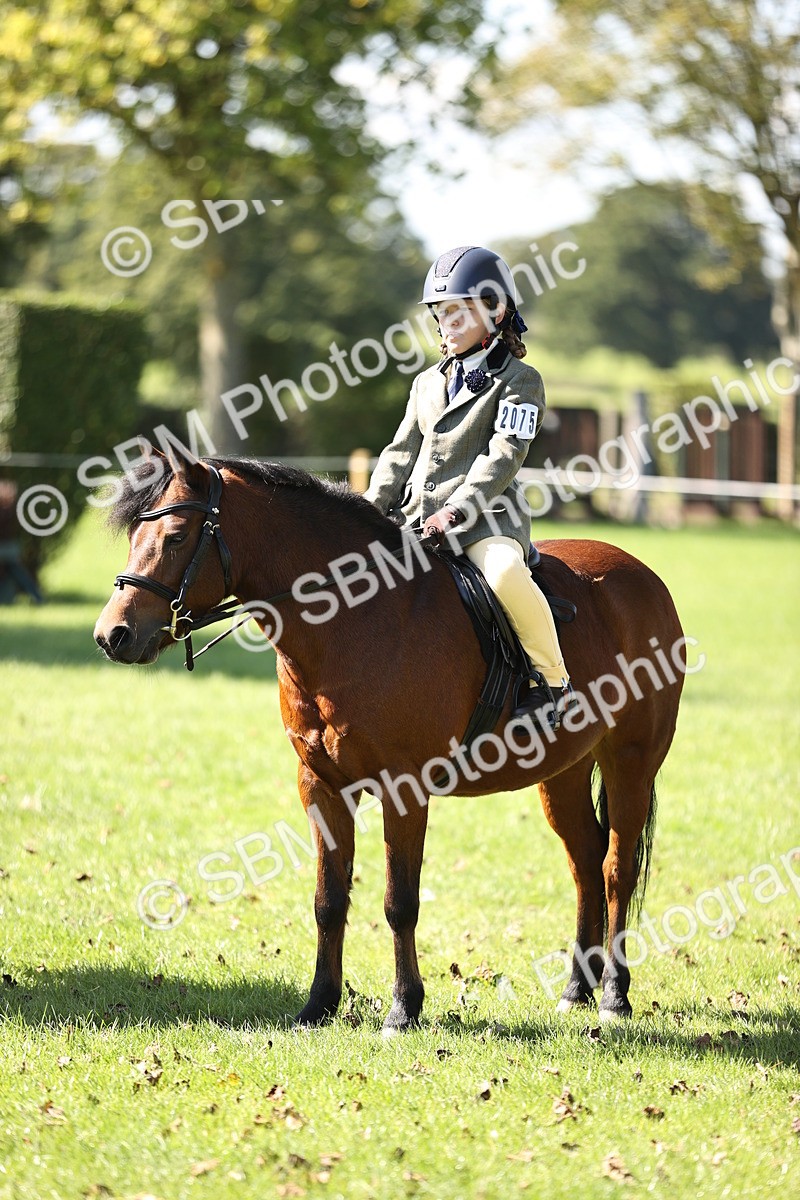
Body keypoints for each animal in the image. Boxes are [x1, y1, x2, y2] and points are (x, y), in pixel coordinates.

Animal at [94, 453, 685, 1031]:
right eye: (134, 535)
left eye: (175, 536)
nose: (111, 635)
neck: (352, 622)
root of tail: (641, 575)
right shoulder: (321, 786)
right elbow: (328, 900)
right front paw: (319, 1005)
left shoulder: (404, 789)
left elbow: (400, 902)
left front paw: (404, 1007)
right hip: (561, 773)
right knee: (586, 862)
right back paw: (575, 991)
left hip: (631, 763)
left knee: (615, 870)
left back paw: (613, 996)